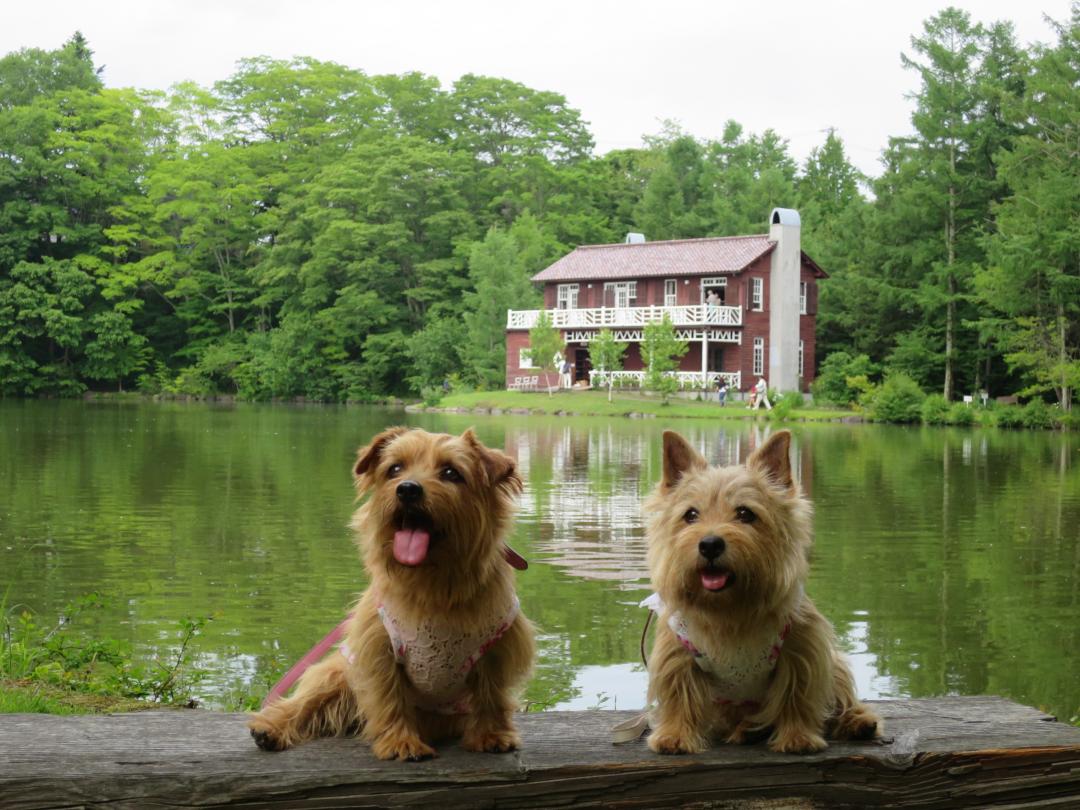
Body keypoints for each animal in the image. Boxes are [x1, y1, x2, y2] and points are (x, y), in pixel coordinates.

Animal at [249, 427, 535, 764]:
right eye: (394, 469)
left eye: (451, 473)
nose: (408, 490)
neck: (432, 584)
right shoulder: (379, 649)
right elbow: (390, 698)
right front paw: (401, 742)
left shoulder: (496, 647)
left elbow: (491, 695)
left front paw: (491, 735)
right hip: (338, 672)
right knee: (306, 702)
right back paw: (271, 728)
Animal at [639, 432, 876, 756]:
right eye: (690, 515)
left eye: (745, 513)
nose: (710, 544)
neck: (729, 608)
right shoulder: (678, 652)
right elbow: (679, 693)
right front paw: (674, 736)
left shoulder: (802, 646)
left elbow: (797, 694)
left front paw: (797, 737)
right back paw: (745, 731)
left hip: (835, 664)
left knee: (841, 697)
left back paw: (857, 721)